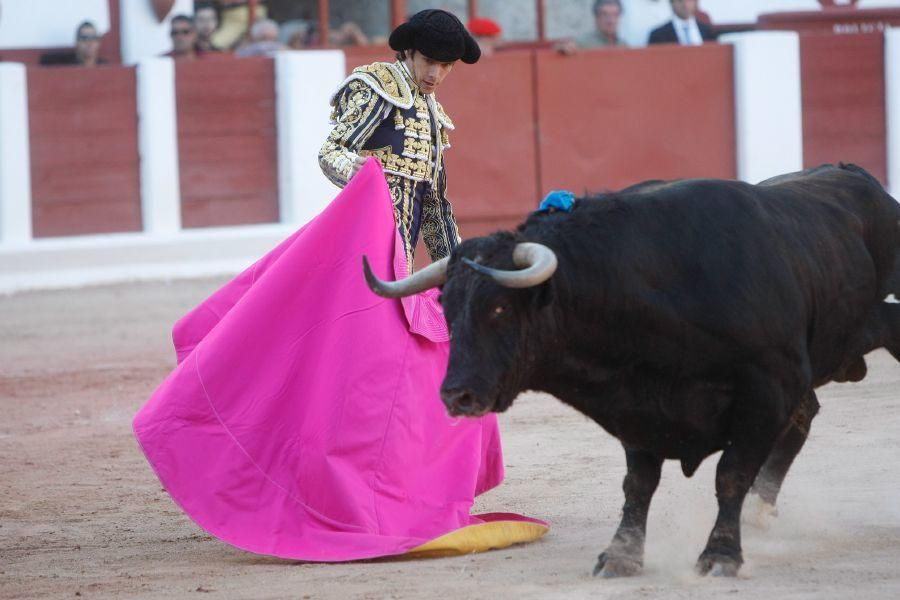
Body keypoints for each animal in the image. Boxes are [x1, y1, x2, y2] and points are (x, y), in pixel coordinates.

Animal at [362, 163, 896, 576]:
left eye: (499, 309)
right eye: (448, 309)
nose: (456, 395)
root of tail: (861, 178)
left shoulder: (767, 385)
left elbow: (731, 474)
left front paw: (720, 556)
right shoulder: (636, 396)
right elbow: (639, 482)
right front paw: (620, 556)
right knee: (805, 417)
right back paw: (762, 515)